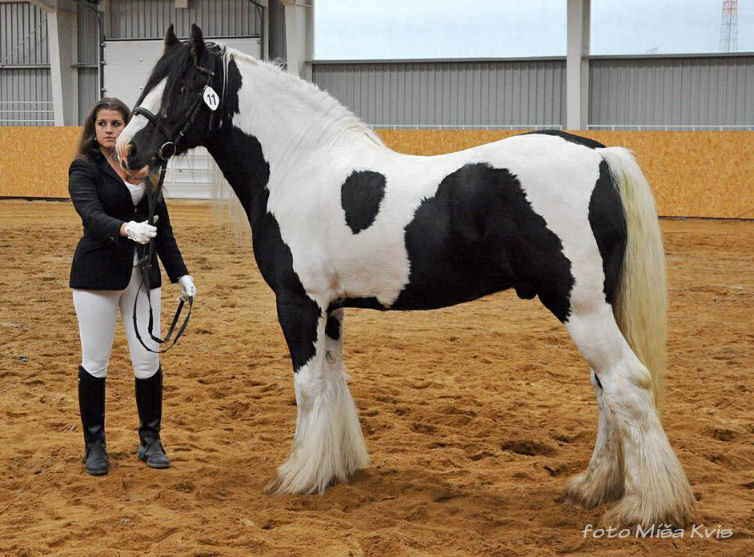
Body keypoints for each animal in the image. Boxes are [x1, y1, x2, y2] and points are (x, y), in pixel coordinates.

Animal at [116, 24, 695, 528]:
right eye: (151, 78)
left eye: (184, 83)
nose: (128, 150)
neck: (300, 165)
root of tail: (601, 155)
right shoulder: (332, 308)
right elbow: (334, 382)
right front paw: (335, 468)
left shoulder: (298, 303)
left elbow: (308, 388)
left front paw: (297, 476)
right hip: (597, 309)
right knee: (606, 392)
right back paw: (594, 487)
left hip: (582, 308)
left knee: (627, 384)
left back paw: (645, 507)